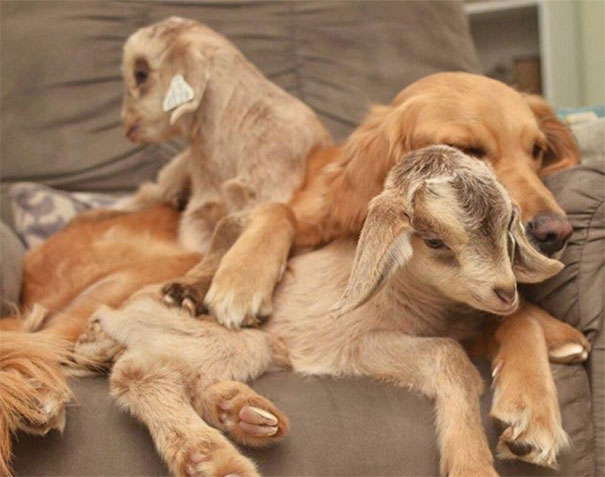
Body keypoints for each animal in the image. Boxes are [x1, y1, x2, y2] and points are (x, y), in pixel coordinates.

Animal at [74, 146, 560, 476]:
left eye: (506, 227)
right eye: (435, 241)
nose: (505, 291)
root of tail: (107, 323)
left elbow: (514, 326)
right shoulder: (356, 345)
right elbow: (450, 357)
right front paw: (472, 464)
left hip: (250, 347)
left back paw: (245, 413)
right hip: (217, 337)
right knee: (139, 373)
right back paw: (215, 460)